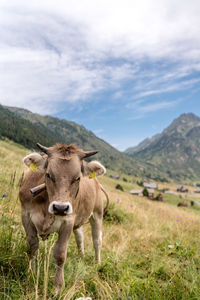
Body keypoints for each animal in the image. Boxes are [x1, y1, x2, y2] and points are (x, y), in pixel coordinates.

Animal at [19, 142, 109, 292]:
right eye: (48, 175)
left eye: (78, 178)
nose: (60, 208)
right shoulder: (26, 215)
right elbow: (32, 247)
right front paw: (31, 273)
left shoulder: (68, 221)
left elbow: (60, 254)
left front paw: (58, 287)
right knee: (80, 237)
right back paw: (81, 256)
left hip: (97, 214)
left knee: (97, 241)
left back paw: (97, 263)